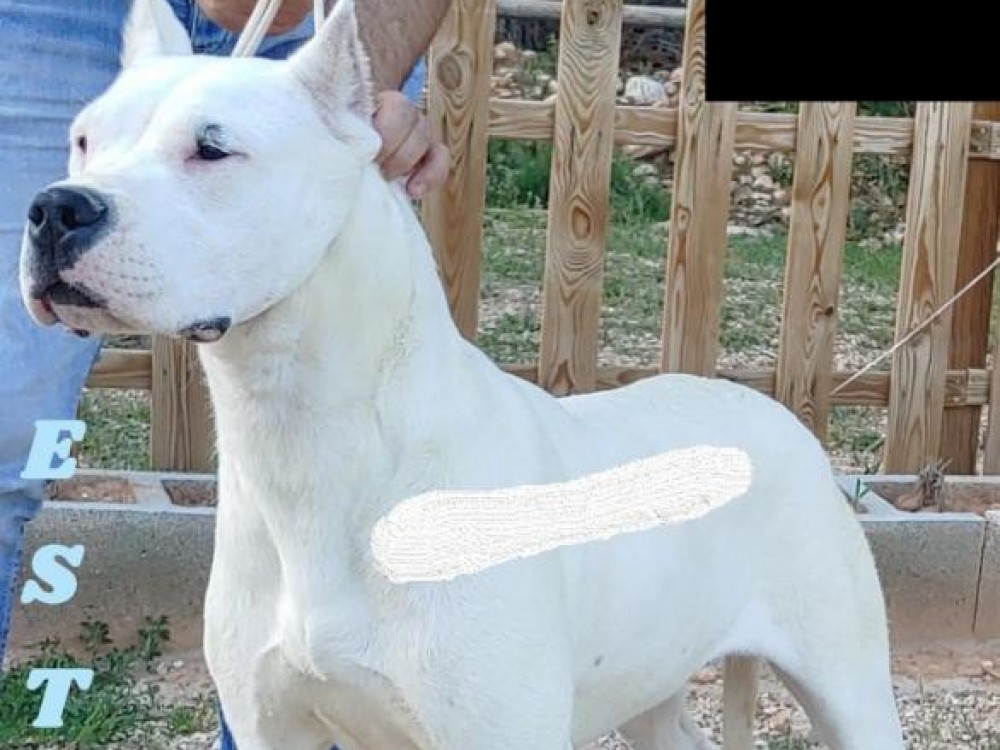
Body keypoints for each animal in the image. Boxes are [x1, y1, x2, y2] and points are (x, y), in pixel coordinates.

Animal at [19, 1, 905, 748]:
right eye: (85, 140)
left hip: (850, 686)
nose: (56, 207)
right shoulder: (273, 725)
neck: (306, 437)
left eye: (212, 148)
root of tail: (775, 414)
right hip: (652, 681)